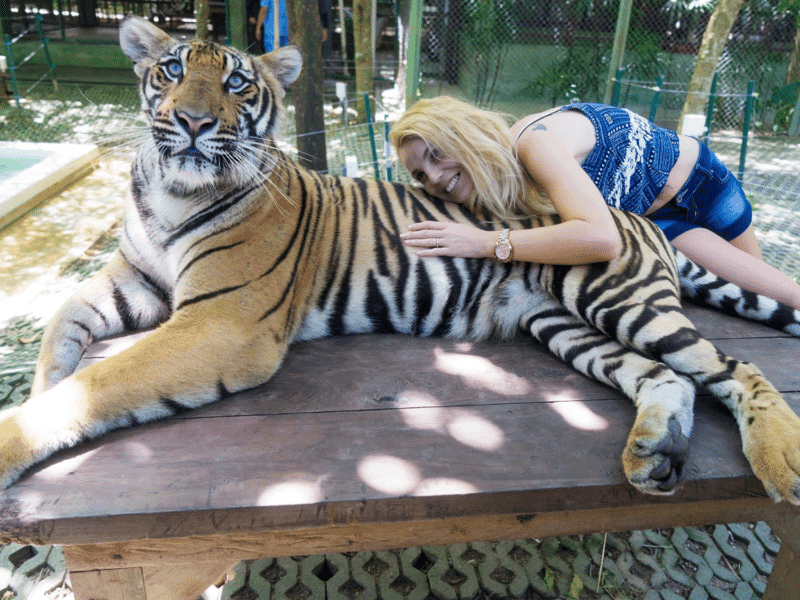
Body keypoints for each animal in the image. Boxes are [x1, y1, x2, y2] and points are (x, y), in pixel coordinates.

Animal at [1, 12, 800, 502]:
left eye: (234, 83)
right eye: (169, 72)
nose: (192, 123)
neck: (172, 192)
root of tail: (639, 219)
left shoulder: (217, 325)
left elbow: (97, 385)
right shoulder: (133, 284)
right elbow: (60, 331)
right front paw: (42, 384)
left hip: (616, 296)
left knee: (734, 369)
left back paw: (780, 462)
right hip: (559, 324)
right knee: (669, 379)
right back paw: (652, 455)